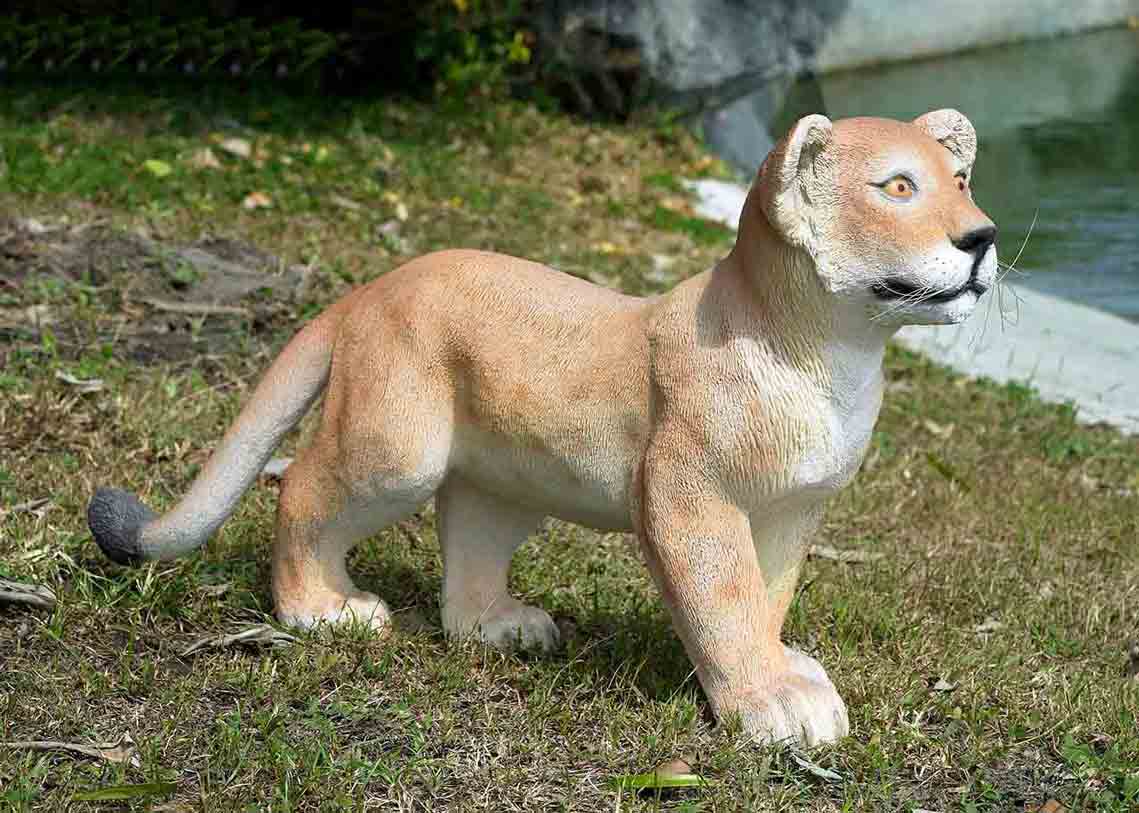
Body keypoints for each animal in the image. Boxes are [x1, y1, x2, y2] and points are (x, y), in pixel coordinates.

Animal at [88, 109, 997, 746]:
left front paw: (783, 669)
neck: (835, 354)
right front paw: (767, 701)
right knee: (304, 486)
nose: (982, 236)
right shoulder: (689, 494)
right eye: (896, 187)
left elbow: (764, 596)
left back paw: (500, 626)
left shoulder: (789, 509)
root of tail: (372, 285)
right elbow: (723, 596)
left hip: (502, 482)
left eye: (959, 179)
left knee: (467, 552)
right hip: (396, 446)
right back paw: (321, 610)